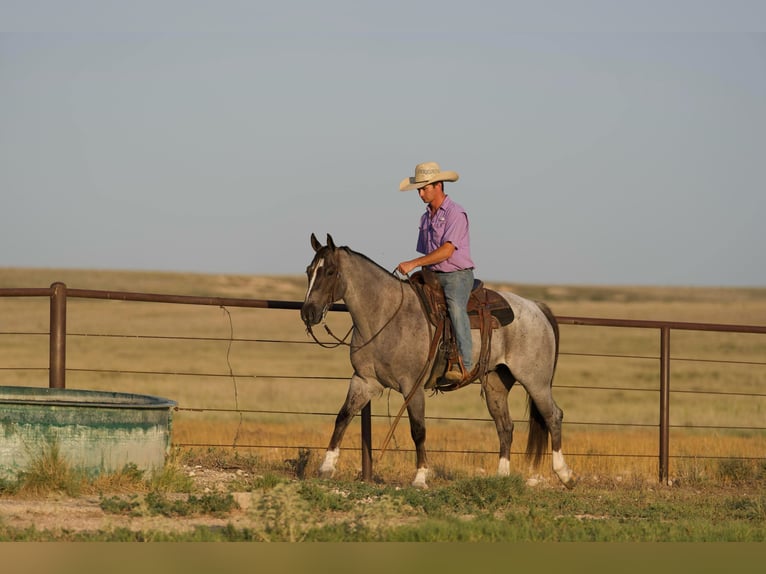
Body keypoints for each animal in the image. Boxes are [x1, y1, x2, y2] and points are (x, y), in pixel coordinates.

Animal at [300, 234, 575, 489]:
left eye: (330, 271)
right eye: (309, 271)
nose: (308, 313)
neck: (386, 316)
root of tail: (536, 307)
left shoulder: (412, 386)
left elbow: (418, 430)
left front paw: (421, 477)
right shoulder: (364, 380)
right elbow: (343, 416)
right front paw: (326, 467)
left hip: (535, 381)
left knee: (553, 415)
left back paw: (565, 474)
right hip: (496, 383)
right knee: (505, 426)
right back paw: (502, 477)